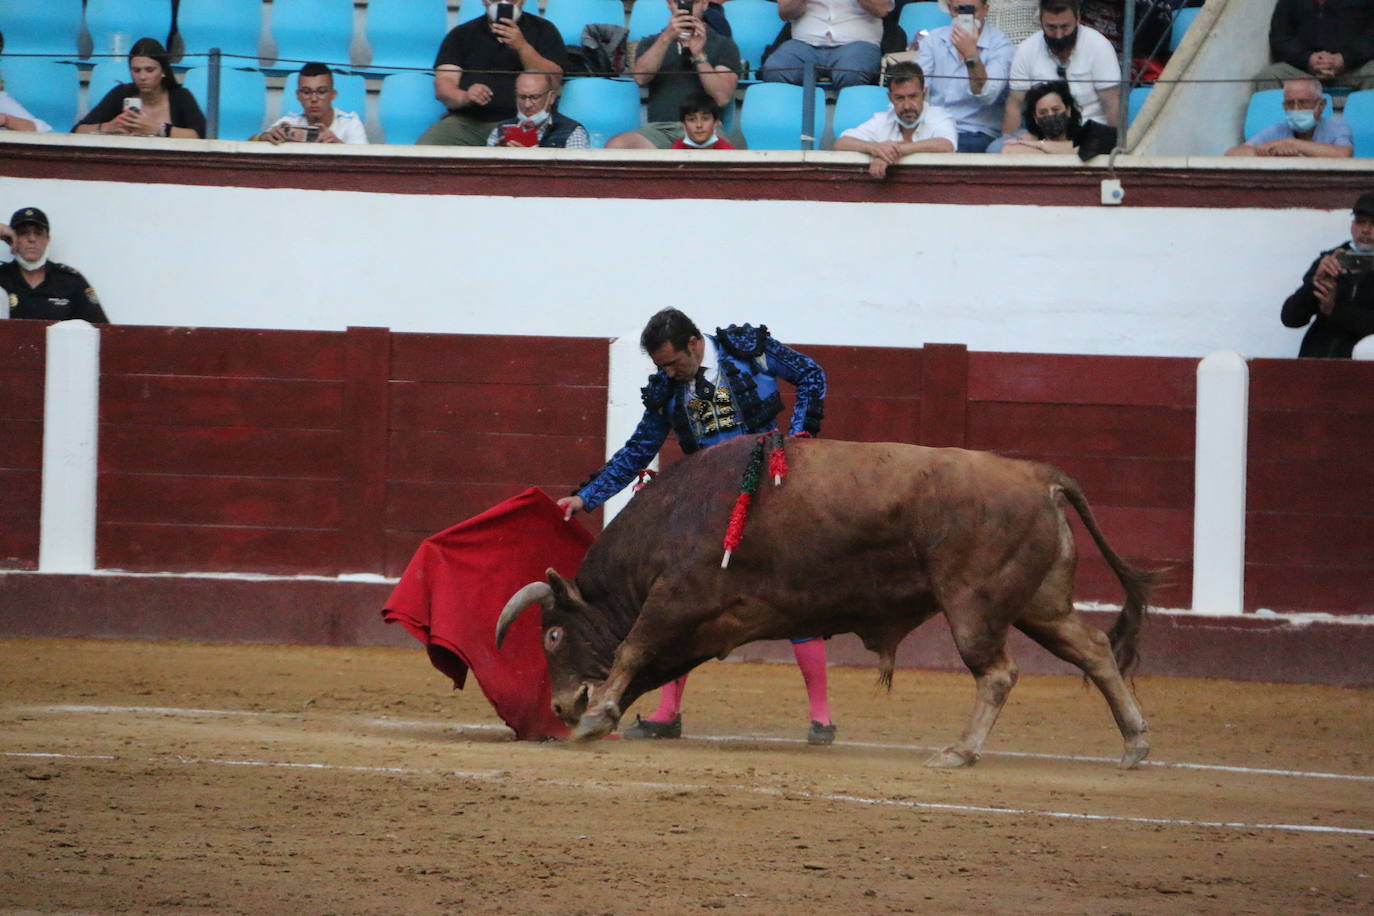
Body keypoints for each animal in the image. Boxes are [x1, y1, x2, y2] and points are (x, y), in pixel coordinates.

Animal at [494, 436, 1159, 769]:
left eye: (552, 633)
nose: (559, 706)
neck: (674, 518)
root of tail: (1039, 477)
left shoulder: (676, 599)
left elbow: (632, 648)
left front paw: (595, 718)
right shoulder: (703, 626)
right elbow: (649, 664)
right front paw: (609, 717)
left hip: (972, 604)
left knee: (997, 671)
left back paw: (960, 752)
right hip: (1041, 604)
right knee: (1094, 649)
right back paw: (1134, 745)